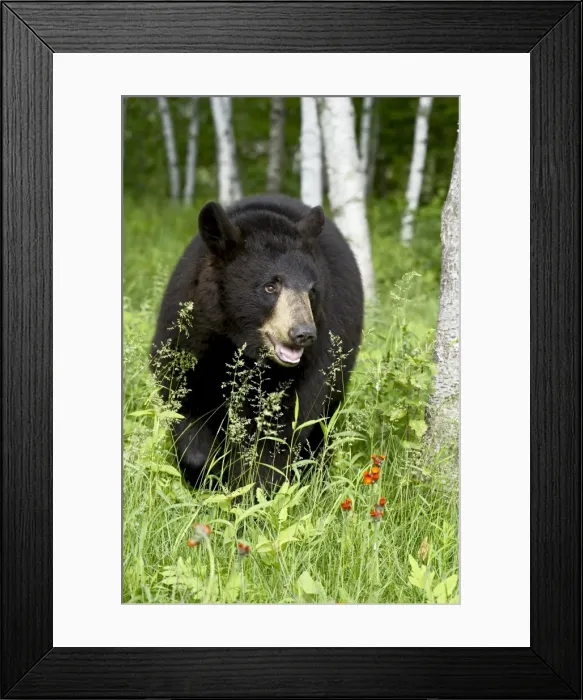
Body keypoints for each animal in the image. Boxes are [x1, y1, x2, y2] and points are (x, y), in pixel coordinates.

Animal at [151, 194, 364, 488]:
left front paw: (252, 487)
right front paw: (206, 473)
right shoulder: (190, 338)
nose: (303, 333)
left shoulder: (312, 365)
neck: (238, 344)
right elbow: (184, 400)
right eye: (270, 286)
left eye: (311, 291)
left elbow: (280, 432)